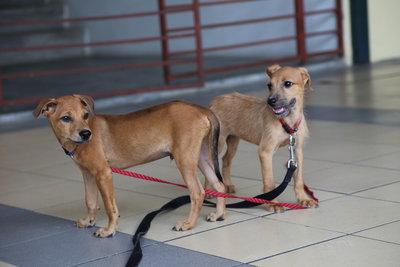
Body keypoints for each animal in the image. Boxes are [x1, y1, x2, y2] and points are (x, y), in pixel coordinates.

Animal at [32, 95, 225, 238]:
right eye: (66, 118)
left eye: (85, 115)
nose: (86, 134)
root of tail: (200, 108)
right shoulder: (88, 174)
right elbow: (91, 201)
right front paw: (88, 221)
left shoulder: (103, 173)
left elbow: (110, 207)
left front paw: (109, 230)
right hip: (201, 157)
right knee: (219, 185)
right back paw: (219, 214)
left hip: (184, 160)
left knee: (197, 192)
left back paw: (188, 224)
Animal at [208, 64, 318, 211]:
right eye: (269, 85)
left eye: (288, 83)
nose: (270, 101)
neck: (287, 121)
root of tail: (215, 101)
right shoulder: (265, 152)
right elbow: (269, 182)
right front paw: (273, 203)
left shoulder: (297, 150)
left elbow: (299, 179)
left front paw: (303, 199)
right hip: (217, 143)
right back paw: (208, 190)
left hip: (233, 141)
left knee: (226, 160)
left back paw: (228, 185)